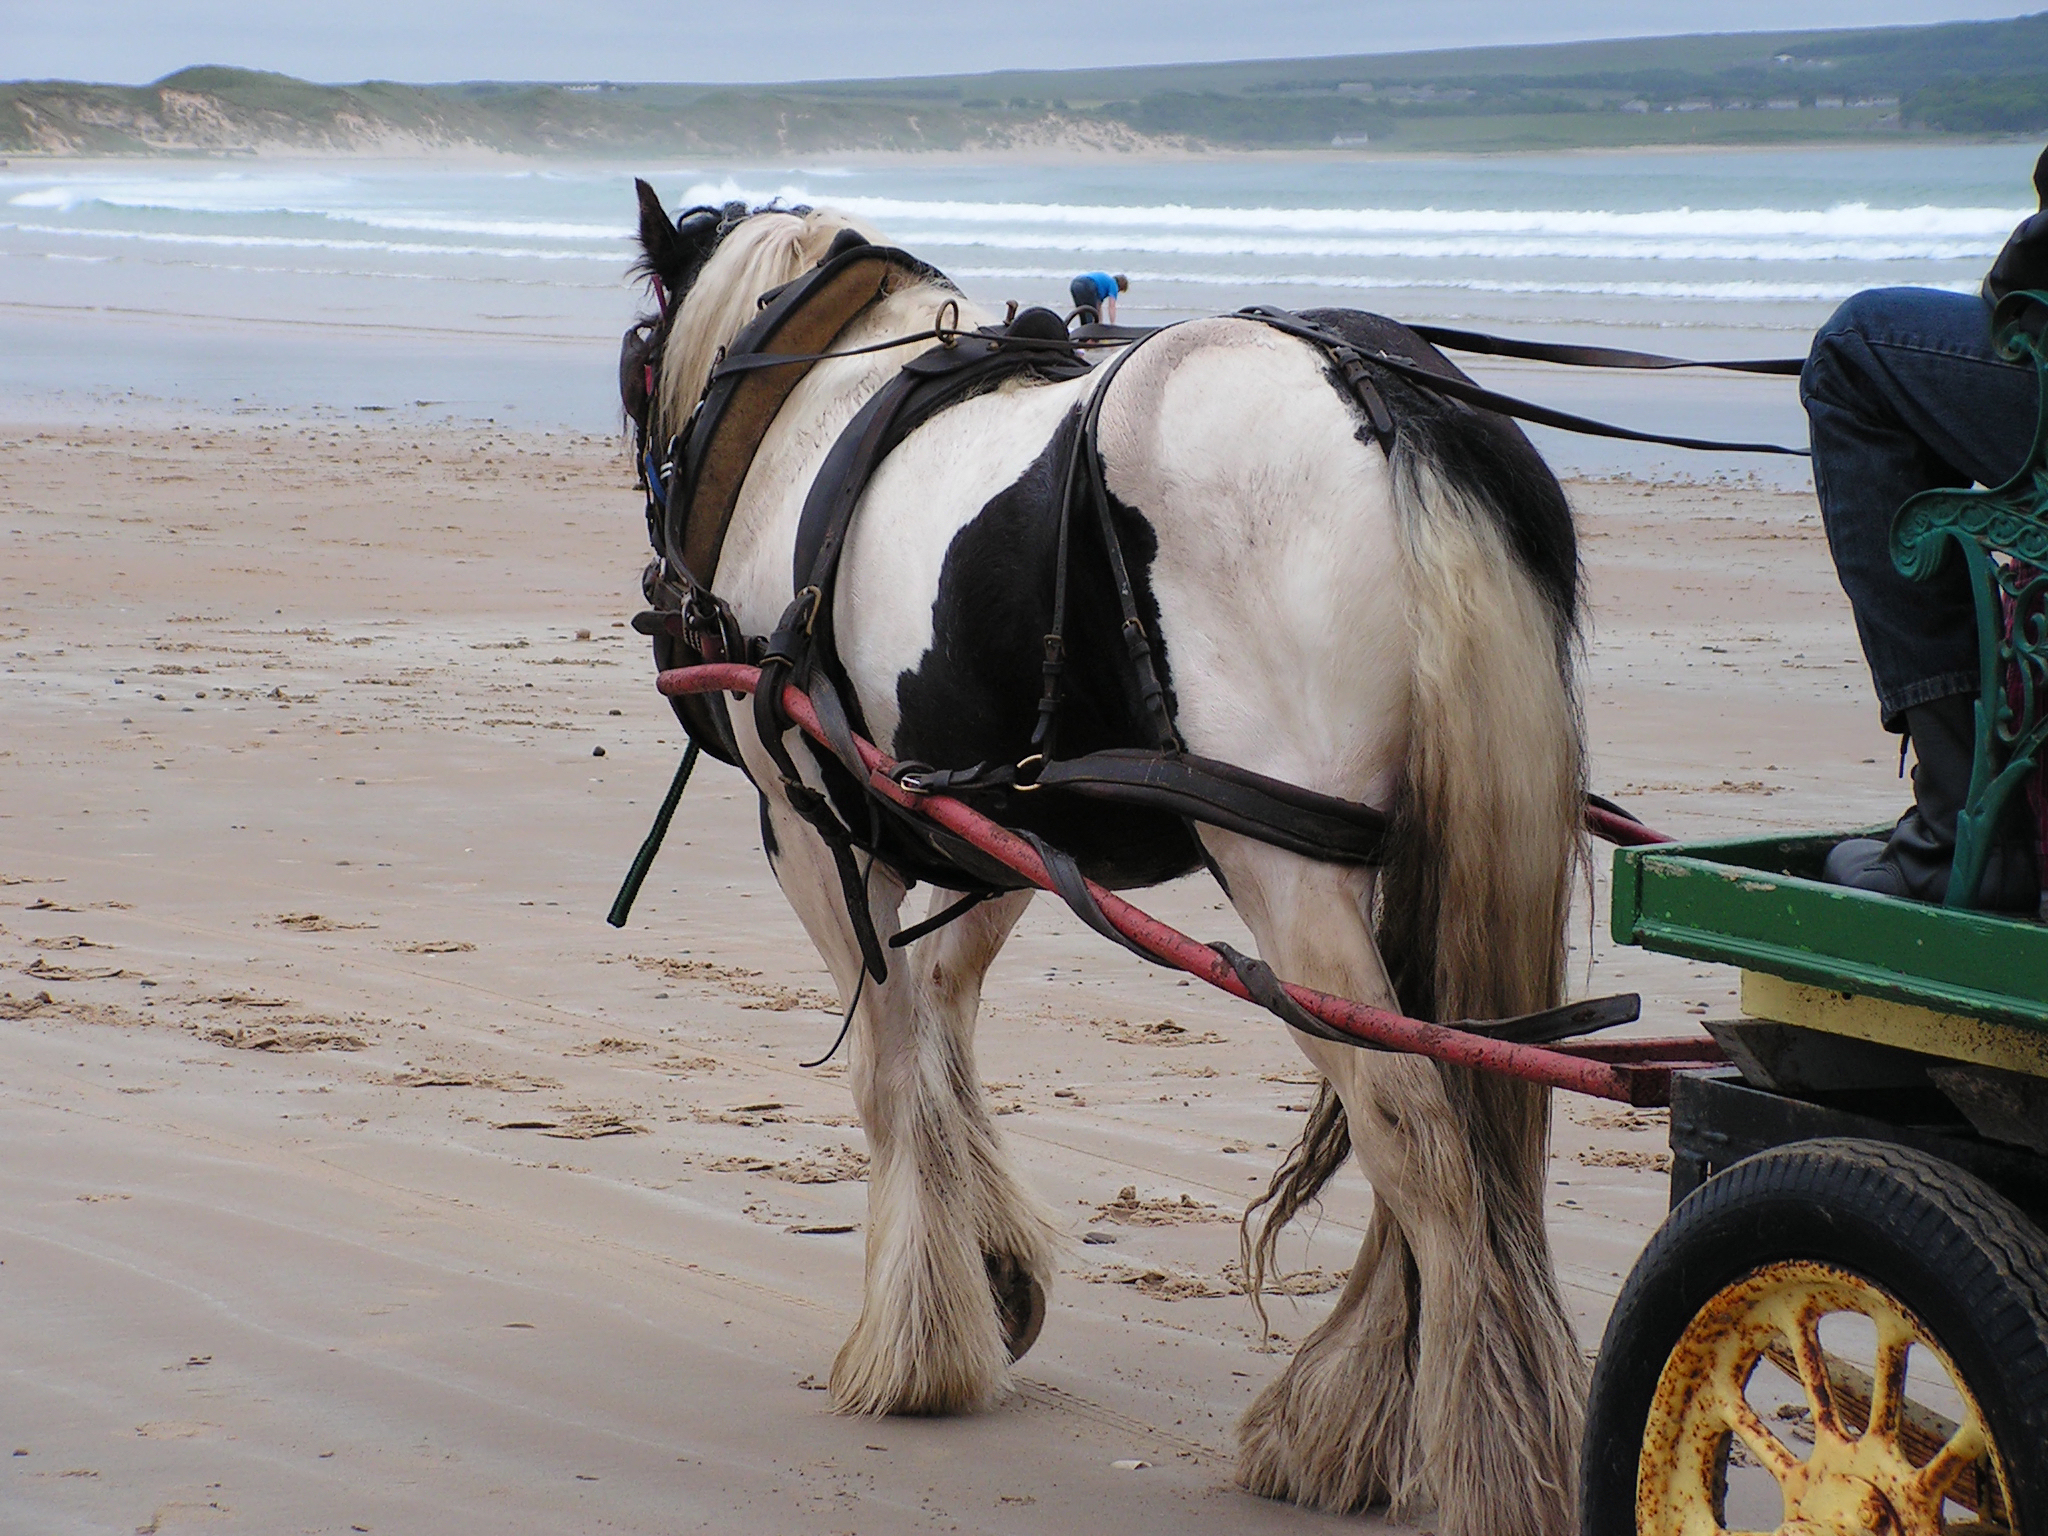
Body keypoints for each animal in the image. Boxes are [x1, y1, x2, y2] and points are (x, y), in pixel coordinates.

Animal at [623, 184, 1589, 1536]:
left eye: (636, 364)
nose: (659, 594)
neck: (816, 399)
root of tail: (1376, 388)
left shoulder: (811, 825)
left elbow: (887, 1066)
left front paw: (916, 1345)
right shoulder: (1006, 825)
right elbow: (942, 1013)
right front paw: (991, 1272)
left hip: (1281, 868)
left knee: (1417, 1133)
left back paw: (1479, 1462)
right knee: (1460, 1096)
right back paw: (1357, 1419)